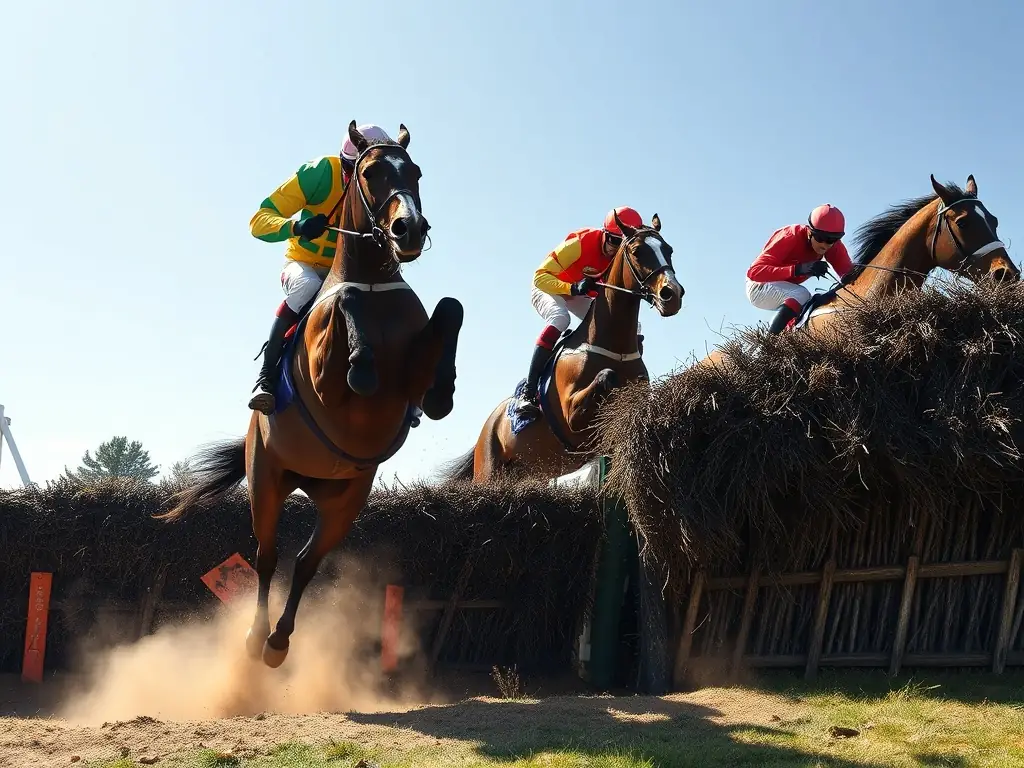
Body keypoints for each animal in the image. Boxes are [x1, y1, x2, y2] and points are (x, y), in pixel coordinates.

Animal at [156, 122, 464, 669]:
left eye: (416, 171)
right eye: (372, 171)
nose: (409, 229)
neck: (372, 281)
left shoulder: (408, 375)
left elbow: (451, 308)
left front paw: (443, 391)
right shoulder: (324, 382)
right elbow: (343, 305)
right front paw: (361, 363)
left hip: (346, 498)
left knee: (305, 563)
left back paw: (280, 642)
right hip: (267, 479)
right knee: (267, 557)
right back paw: (257, 636)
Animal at [442, 212, 683, 484]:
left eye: (669, 250)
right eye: (637, 251)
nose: (672, 294)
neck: (613, 346)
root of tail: (487, 426)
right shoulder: (571, 416)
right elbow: (606, 376)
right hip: (488, 470)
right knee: (556, 320)